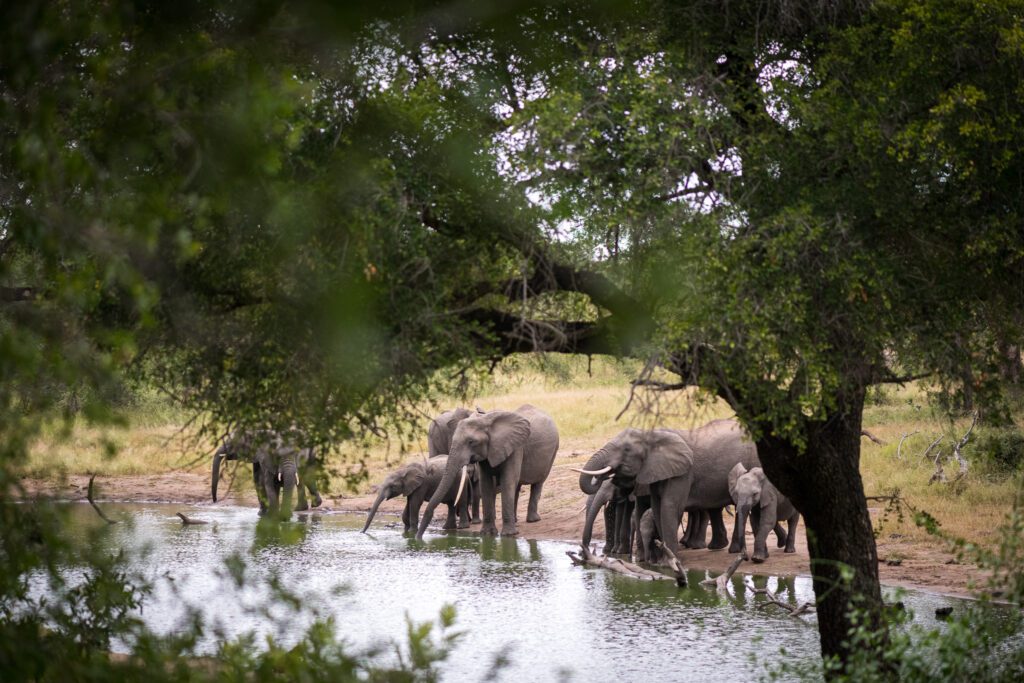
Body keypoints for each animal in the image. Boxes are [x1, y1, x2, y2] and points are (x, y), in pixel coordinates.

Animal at [416, 404, 559, 539]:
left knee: (537, 483)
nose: (417, 538)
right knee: (517, 487)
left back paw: (533, 520)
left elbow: (507, 481)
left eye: (471, 442)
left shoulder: (516, 448)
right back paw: (516, 520)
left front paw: (508, 535)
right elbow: (485, 484)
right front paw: (487, 534)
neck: (486, 419)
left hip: (552, 453)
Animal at [577, 420, 760, 563]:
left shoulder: (683, 472)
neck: (653, 434)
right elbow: (655, 508)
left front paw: (669, 561)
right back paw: (721, 547)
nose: (584, 553)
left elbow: (669, 506)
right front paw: (655, 560)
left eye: (627, 450)